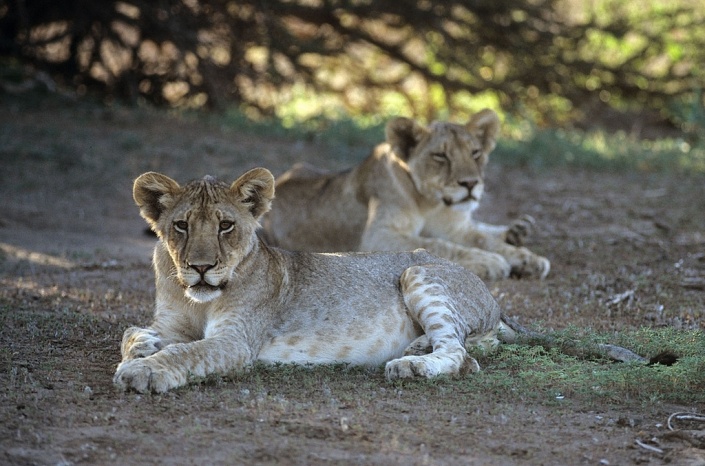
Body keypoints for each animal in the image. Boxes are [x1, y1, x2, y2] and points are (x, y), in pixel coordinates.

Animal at [114, 169, 652, 393]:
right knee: (473, 346)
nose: (202, 267)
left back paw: (411, 365)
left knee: (461, 355)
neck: (197, 298)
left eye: (226, 225)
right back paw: (416, 349)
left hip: (418, 269)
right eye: (182, 226)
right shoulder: (172, 320)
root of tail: (495, 300)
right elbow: (134, 332)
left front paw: (144, 371)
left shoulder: (237, 341)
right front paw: (143, 351)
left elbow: (188, 353)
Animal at [260, 109, 550, 281]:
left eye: (475, 153)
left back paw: (518, 231)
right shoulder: (377, 236)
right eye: (440, 156)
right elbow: (436, 245)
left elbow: (481, 238)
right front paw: (489, 261)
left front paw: (528, 259)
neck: (431, 203)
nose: (470, 184)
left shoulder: (456, 227)